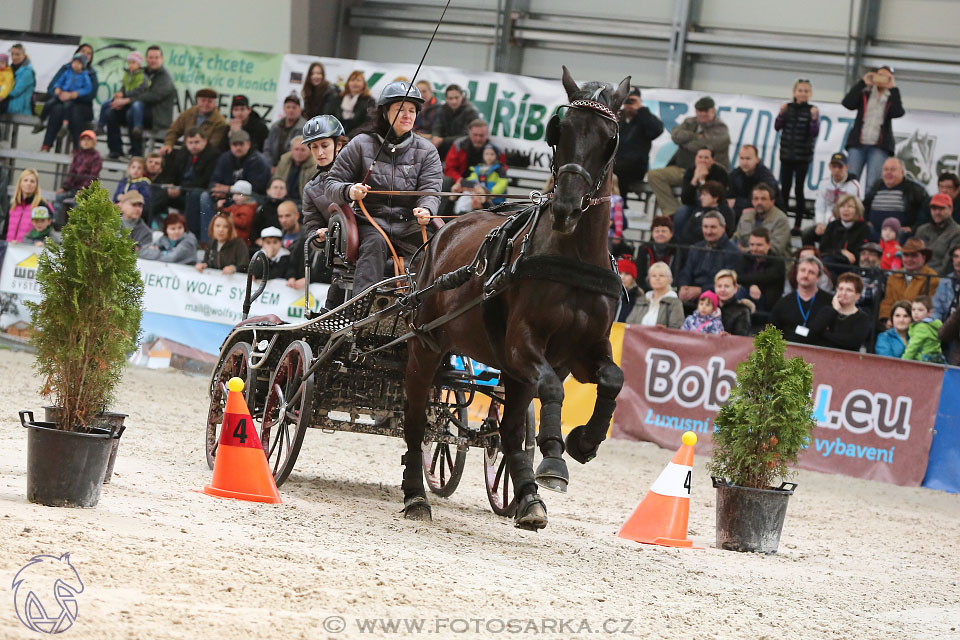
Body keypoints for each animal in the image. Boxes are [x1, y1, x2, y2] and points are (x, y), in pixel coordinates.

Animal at [400, 69, 632, 528]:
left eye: (609, 137)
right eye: (561, 130)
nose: (566, 207)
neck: (571, 254)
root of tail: (440, 234)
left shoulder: (584, 350)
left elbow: (613, 379)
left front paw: (584, 442)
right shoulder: (522, 344)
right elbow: (554, 390)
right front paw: (555, 458)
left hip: (506, 370)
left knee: (507, 431)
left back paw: (526, 498)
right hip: (426, 346)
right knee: (417, 419)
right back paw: (416, 493)